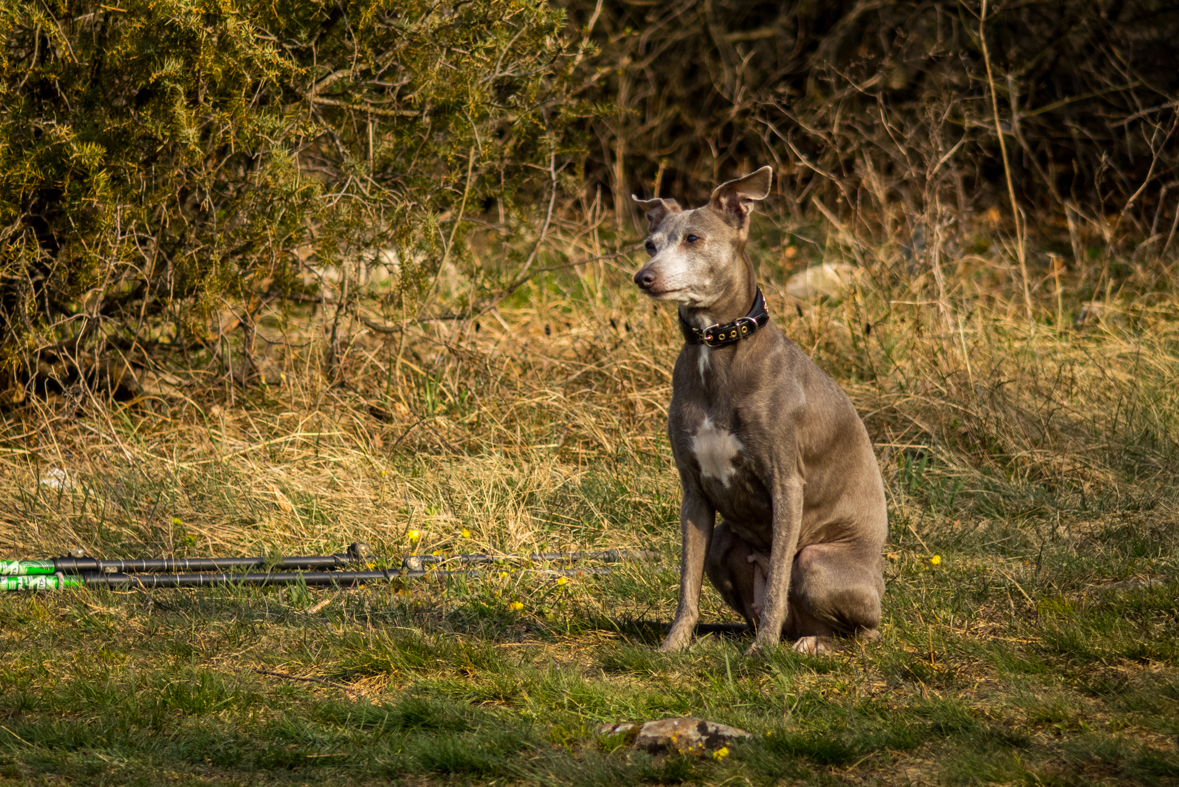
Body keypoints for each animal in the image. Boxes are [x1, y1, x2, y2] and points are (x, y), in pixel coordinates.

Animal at [636, 167, 886, 659]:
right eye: (650, 244)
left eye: (693, 238)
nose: (644, 277)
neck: (718, 351)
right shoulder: (693, 492)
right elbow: (686, 583)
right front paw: (674, 644)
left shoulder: (785, 483)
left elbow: (776, 586)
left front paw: (762, 652)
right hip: (722, 543)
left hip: (818, 564)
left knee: (857, 632)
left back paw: (806, 644)